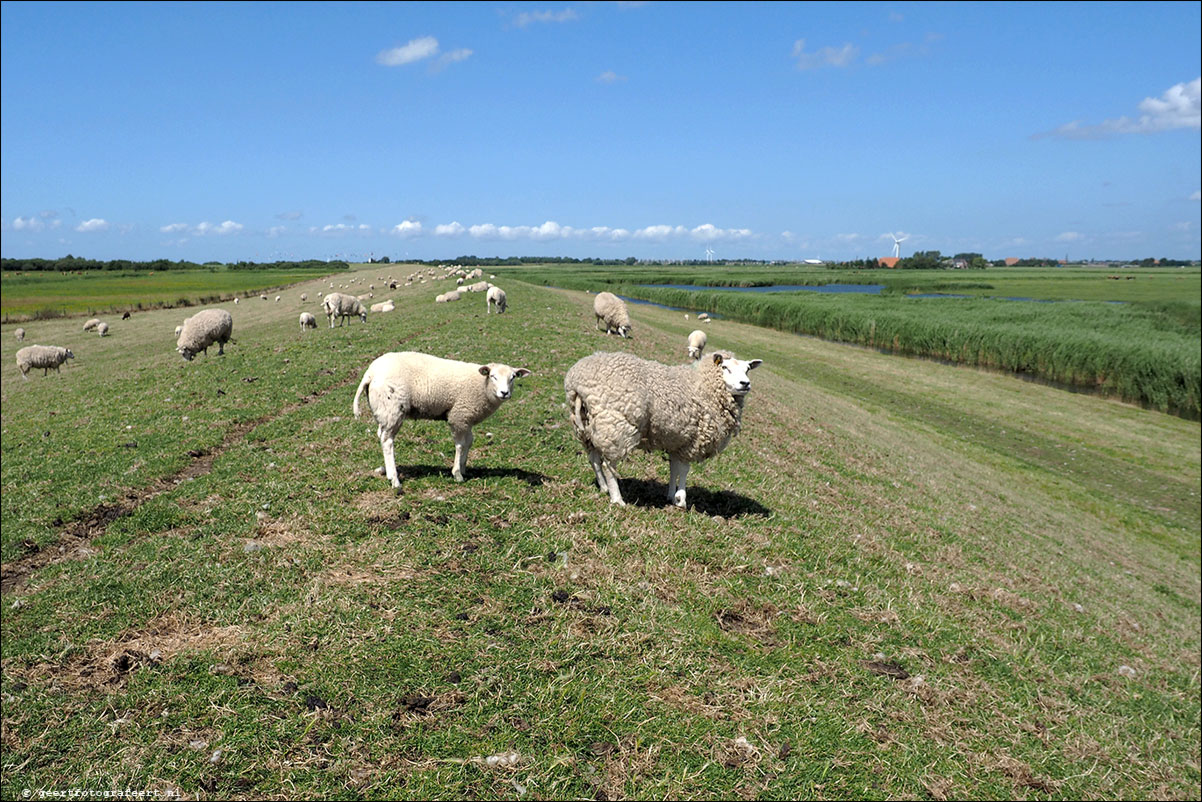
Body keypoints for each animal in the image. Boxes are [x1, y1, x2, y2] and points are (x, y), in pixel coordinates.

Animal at [350, 351, 531, 490]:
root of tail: (370, 372)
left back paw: (387, 473)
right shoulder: (459, 415)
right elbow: (460, 445)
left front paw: (463, 469)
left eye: (513, 377)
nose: (504, 393)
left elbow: (469, 442)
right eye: (493, 376)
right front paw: (457, 474)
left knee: (381, 436)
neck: (482, 386)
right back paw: (395, 480)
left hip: (384, 412)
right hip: (393, 409)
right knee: (387, 441)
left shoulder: (466, 419)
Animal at [560, 348, 759, 507]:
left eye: (748, 369)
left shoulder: (678, 440)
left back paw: (603, 488)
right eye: (725, 367)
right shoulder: (692, 441)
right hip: (616, 425)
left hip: (586, 425)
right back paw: (617, 499)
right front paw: (681, 500)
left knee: (593, 458)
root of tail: (578, 383)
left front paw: (671, 495)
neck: (702, 385)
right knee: (608, 465)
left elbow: (674, 468)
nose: (745, 384)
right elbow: (684, 470)